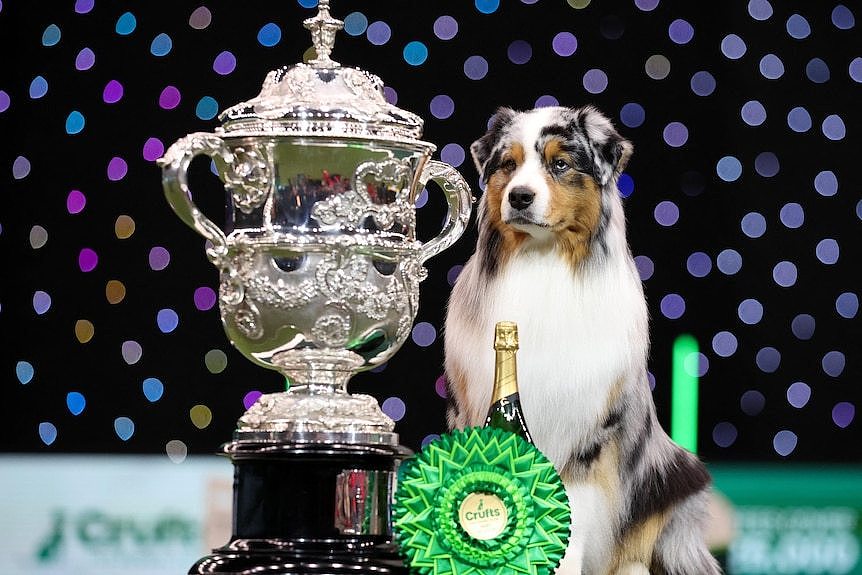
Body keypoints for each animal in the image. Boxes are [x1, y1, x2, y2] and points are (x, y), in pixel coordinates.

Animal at [446, 106, 724, 572]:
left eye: (560, 164)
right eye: (508, 164)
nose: (520, 197)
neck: (544, 259)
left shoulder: (589, 432)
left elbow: (572, 514)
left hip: (675, 480)